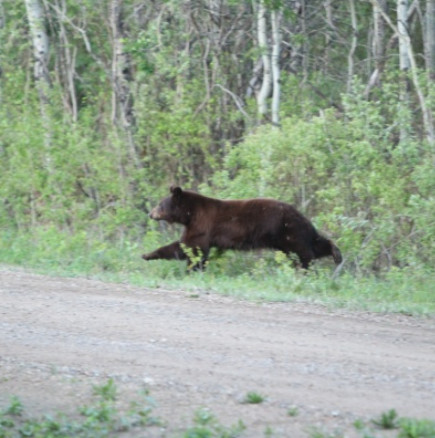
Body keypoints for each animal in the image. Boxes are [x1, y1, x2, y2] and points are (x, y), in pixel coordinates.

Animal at [143, 186, 344, 270]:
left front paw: (147, 254)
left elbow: (190, 248)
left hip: (288, 230)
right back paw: (336, 254)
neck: (190, 214)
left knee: (304, 251)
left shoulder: (201, 226)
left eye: (160, 204)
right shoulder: (195, 226)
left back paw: (310, 265)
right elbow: (187, 247)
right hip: (290, 234)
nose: (150, 214)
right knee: (313, 244)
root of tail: (298, 212)